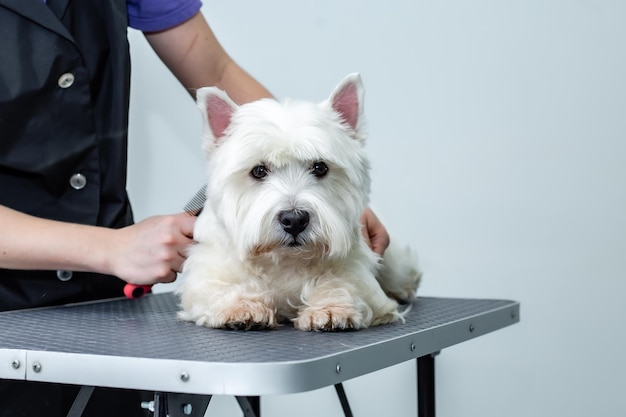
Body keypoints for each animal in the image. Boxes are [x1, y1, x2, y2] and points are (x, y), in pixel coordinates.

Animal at [176, 73, 420, 330]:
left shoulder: (357, 272)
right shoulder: (209, 272)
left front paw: (331, 308)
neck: (286, 260)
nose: (294, 220)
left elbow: (343, 282)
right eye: (259, 171)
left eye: (320, 167)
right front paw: (242, 307)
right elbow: (221, 287)